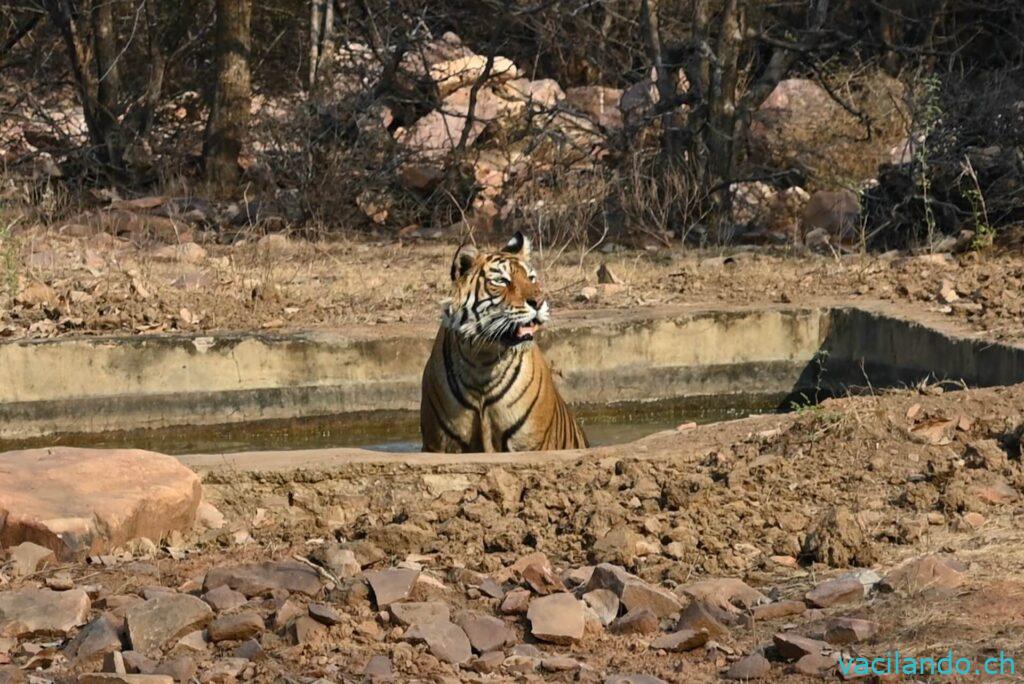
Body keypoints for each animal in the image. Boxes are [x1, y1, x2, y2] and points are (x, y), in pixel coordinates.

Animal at [417, 231, 593, 454]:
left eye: (531, 278)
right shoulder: (438, 444)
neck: (482, 359)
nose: (540, 301)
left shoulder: (531, 444)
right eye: (502, 281)